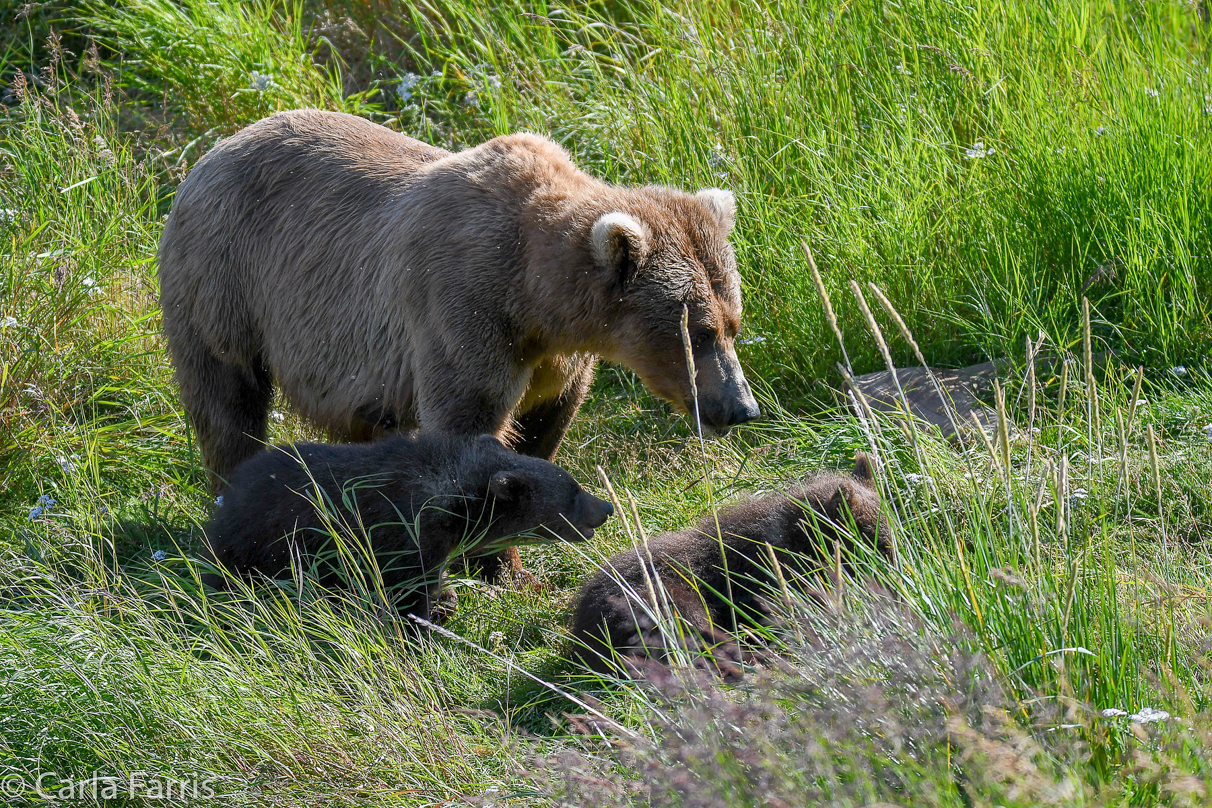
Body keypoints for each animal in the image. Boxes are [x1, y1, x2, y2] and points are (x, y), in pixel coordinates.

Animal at [204, 436, 615, 620]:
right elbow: (407, 592)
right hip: (258, 546)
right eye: (573, 491)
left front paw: (447, 599)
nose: (607, 507)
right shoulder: (401, 534)